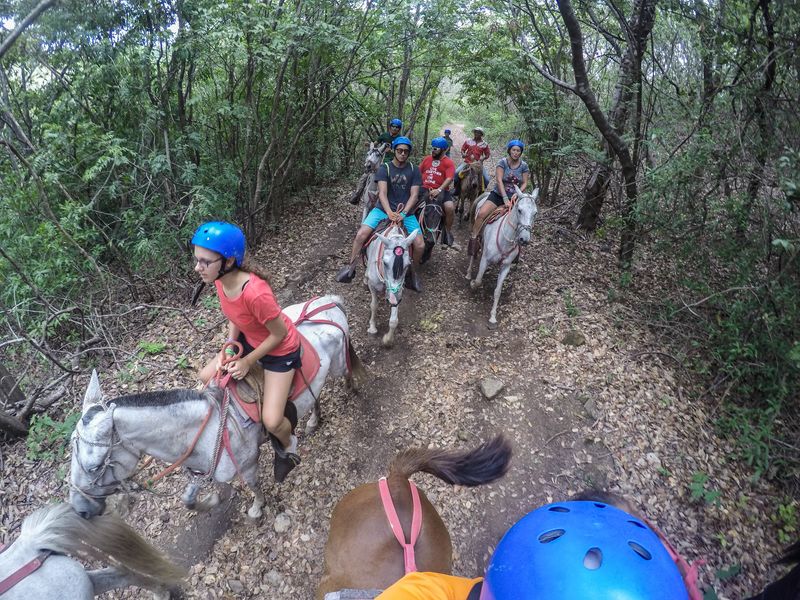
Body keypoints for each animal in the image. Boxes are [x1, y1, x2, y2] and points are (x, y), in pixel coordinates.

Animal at [70, 296, 364, 520]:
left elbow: (254, 485)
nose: (80, 510)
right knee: (314, 394)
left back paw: (351, 392)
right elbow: (188, 499)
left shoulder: (247, 463)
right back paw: (313, 420)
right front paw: (211, 501)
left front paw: (257, 508)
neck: (208, 428)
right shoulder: (199, 467)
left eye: (94, 467)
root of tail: (327, 302)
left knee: (346, 374)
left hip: (338, 365)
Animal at [466, 186, 540, 328]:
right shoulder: (485, 259)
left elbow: (498, 291)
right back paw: (468, 273)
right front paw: (472, 285)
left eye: (535, 213)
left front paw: (493, 317)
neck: (505, 237)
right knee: (473, 250)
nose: (524, 239)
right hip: (476, 227)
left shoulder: (506, 267)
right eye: (519, 210)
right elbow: (478, 281)